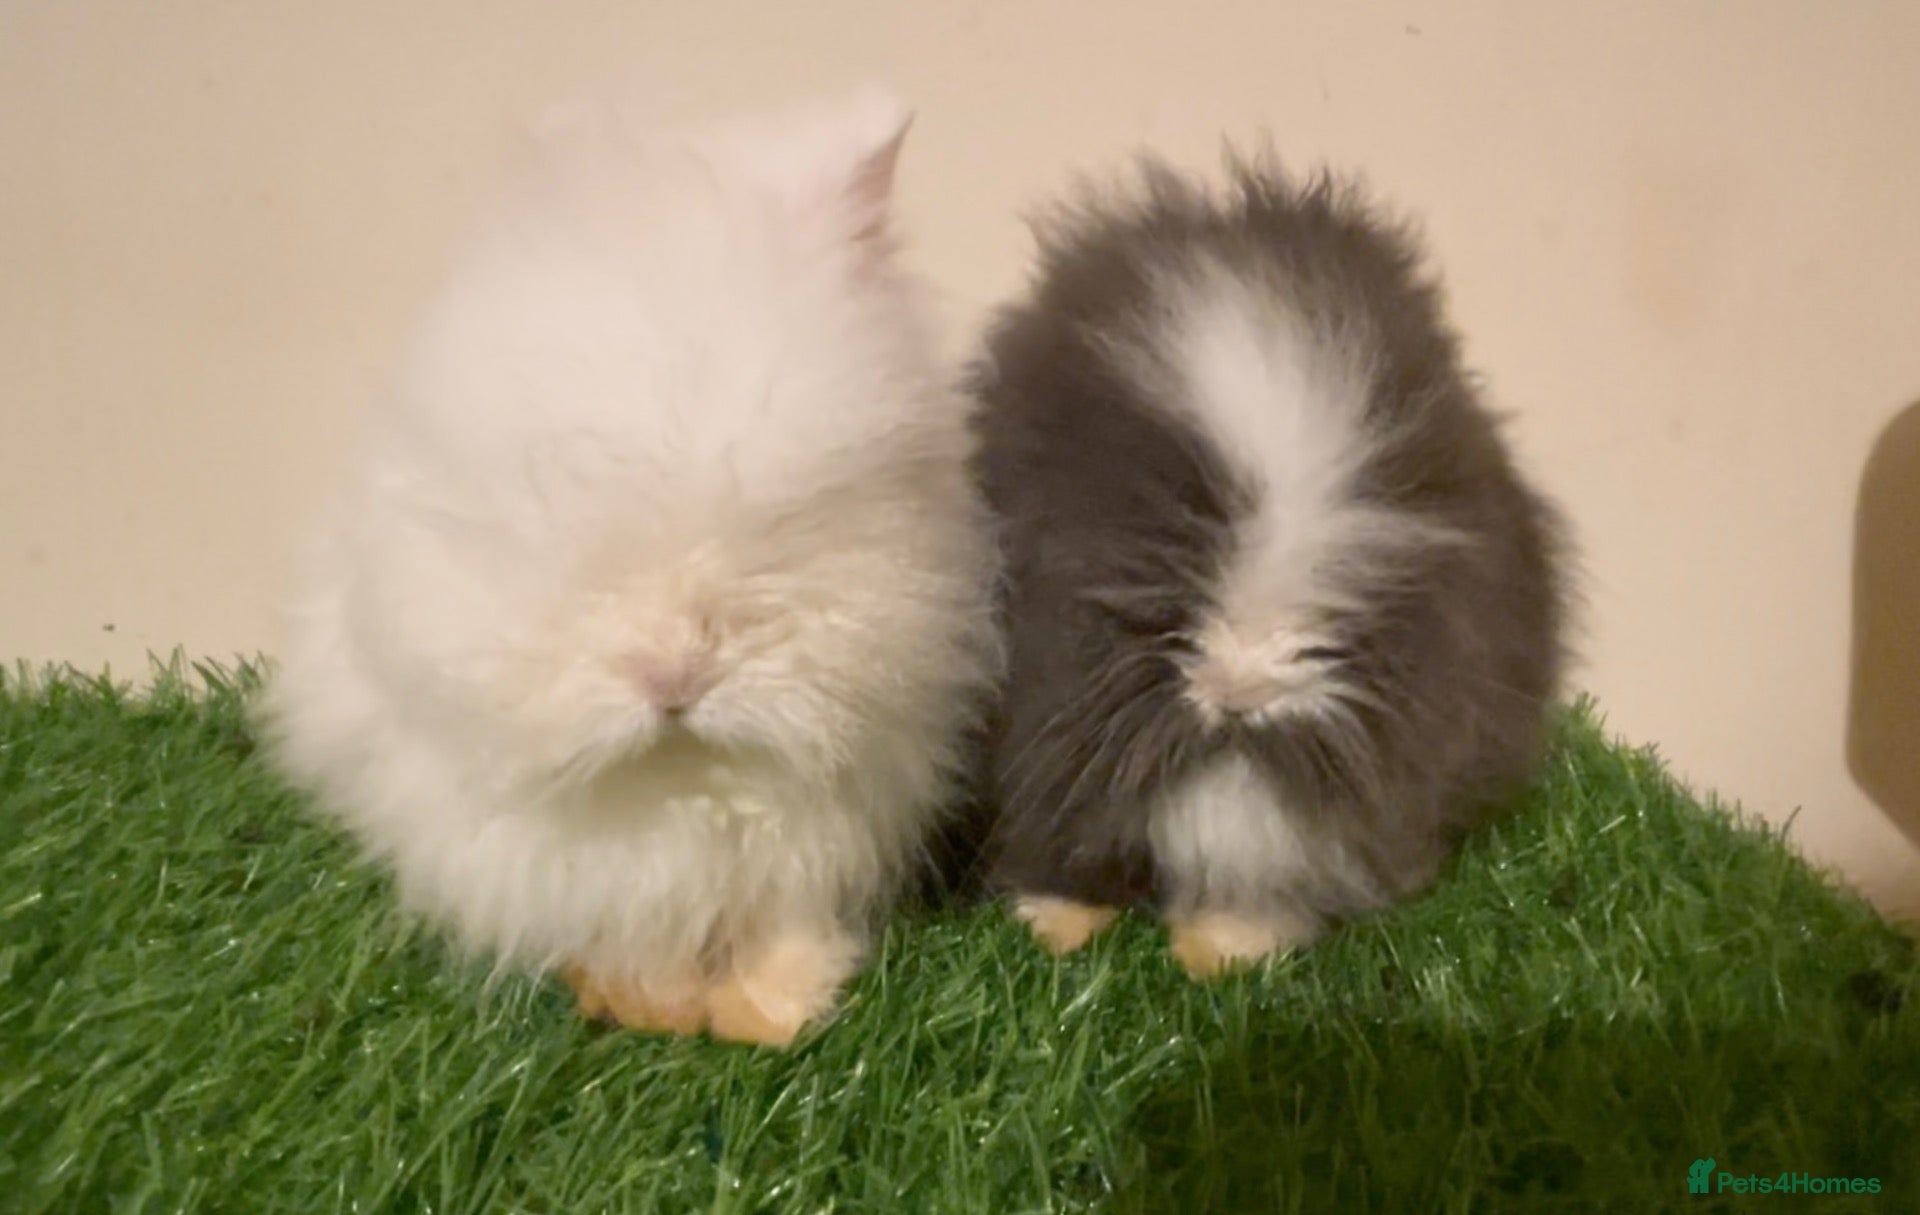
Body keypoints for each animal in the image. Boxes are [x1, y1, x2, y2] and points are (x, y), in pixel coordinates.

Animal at [255, 89, 1003, 1045]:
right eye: (551, 508)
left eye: (799, 513)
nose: (675, 675)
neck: (681, 782)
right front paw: (657, 1005)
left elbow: (783, 924)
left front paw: (779, 1010)